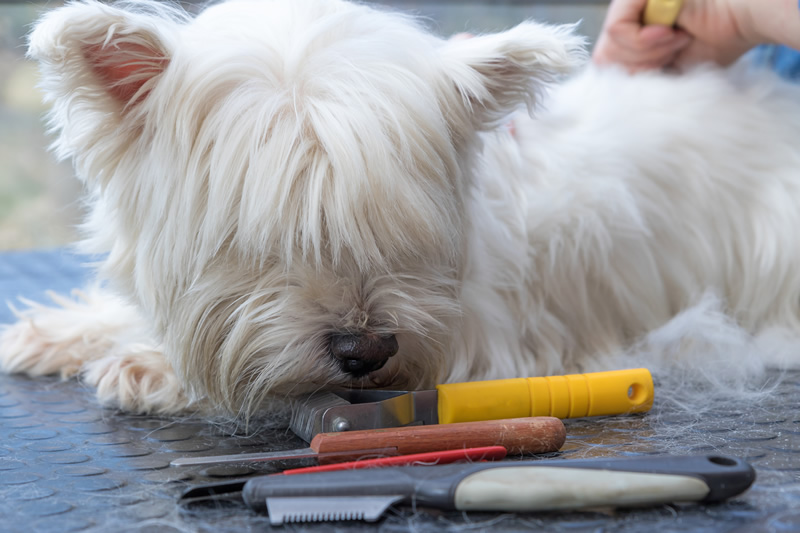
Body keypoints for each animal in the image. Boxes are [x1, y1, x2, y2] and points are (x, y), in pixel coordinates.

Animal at [1, 0, 800, 420]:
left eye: (408, 232)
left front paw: (152, 365)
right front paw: (61, 332)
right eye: (264, 237)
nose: (365, 351)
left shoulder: (492, 344)